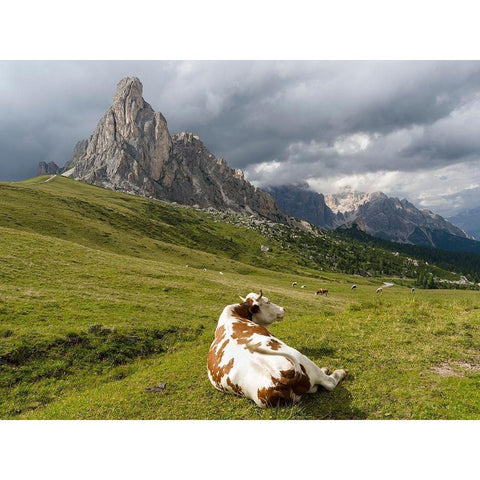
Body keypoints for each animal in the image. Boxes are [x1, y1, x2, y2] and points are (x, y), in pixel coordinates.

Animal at [207, 290, 348, 406]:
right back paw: (338, 372)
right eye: (267, 301)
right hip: (303, 359)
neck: (234, 314)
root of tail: (277, 377)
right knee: (329, 383)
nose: (283, 308)